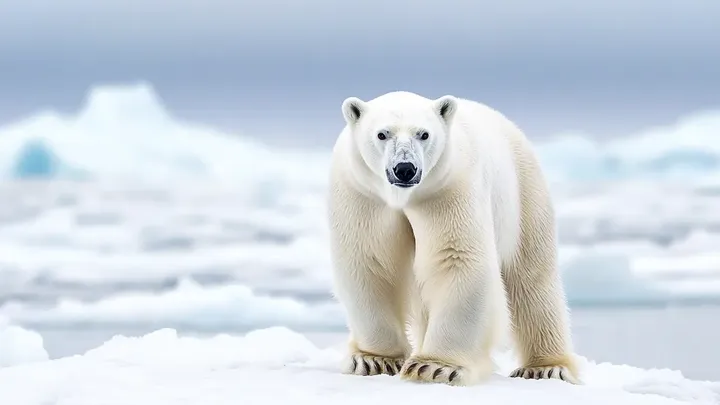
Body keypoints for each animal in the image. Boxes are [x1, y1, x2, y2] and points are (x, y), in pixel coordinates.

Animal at [326, 90, 580, 387]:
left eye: (424, 134)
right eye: (382, 134)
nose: (405, 168)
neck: (404, 196)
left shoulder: (449, 189)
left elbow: (456, 260)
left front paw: (435, 367)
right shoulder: (363, 195)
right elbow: (370, 262)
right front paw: (373, 360)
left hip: (523, 192)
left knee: (532, 278)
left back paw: (547, 367)